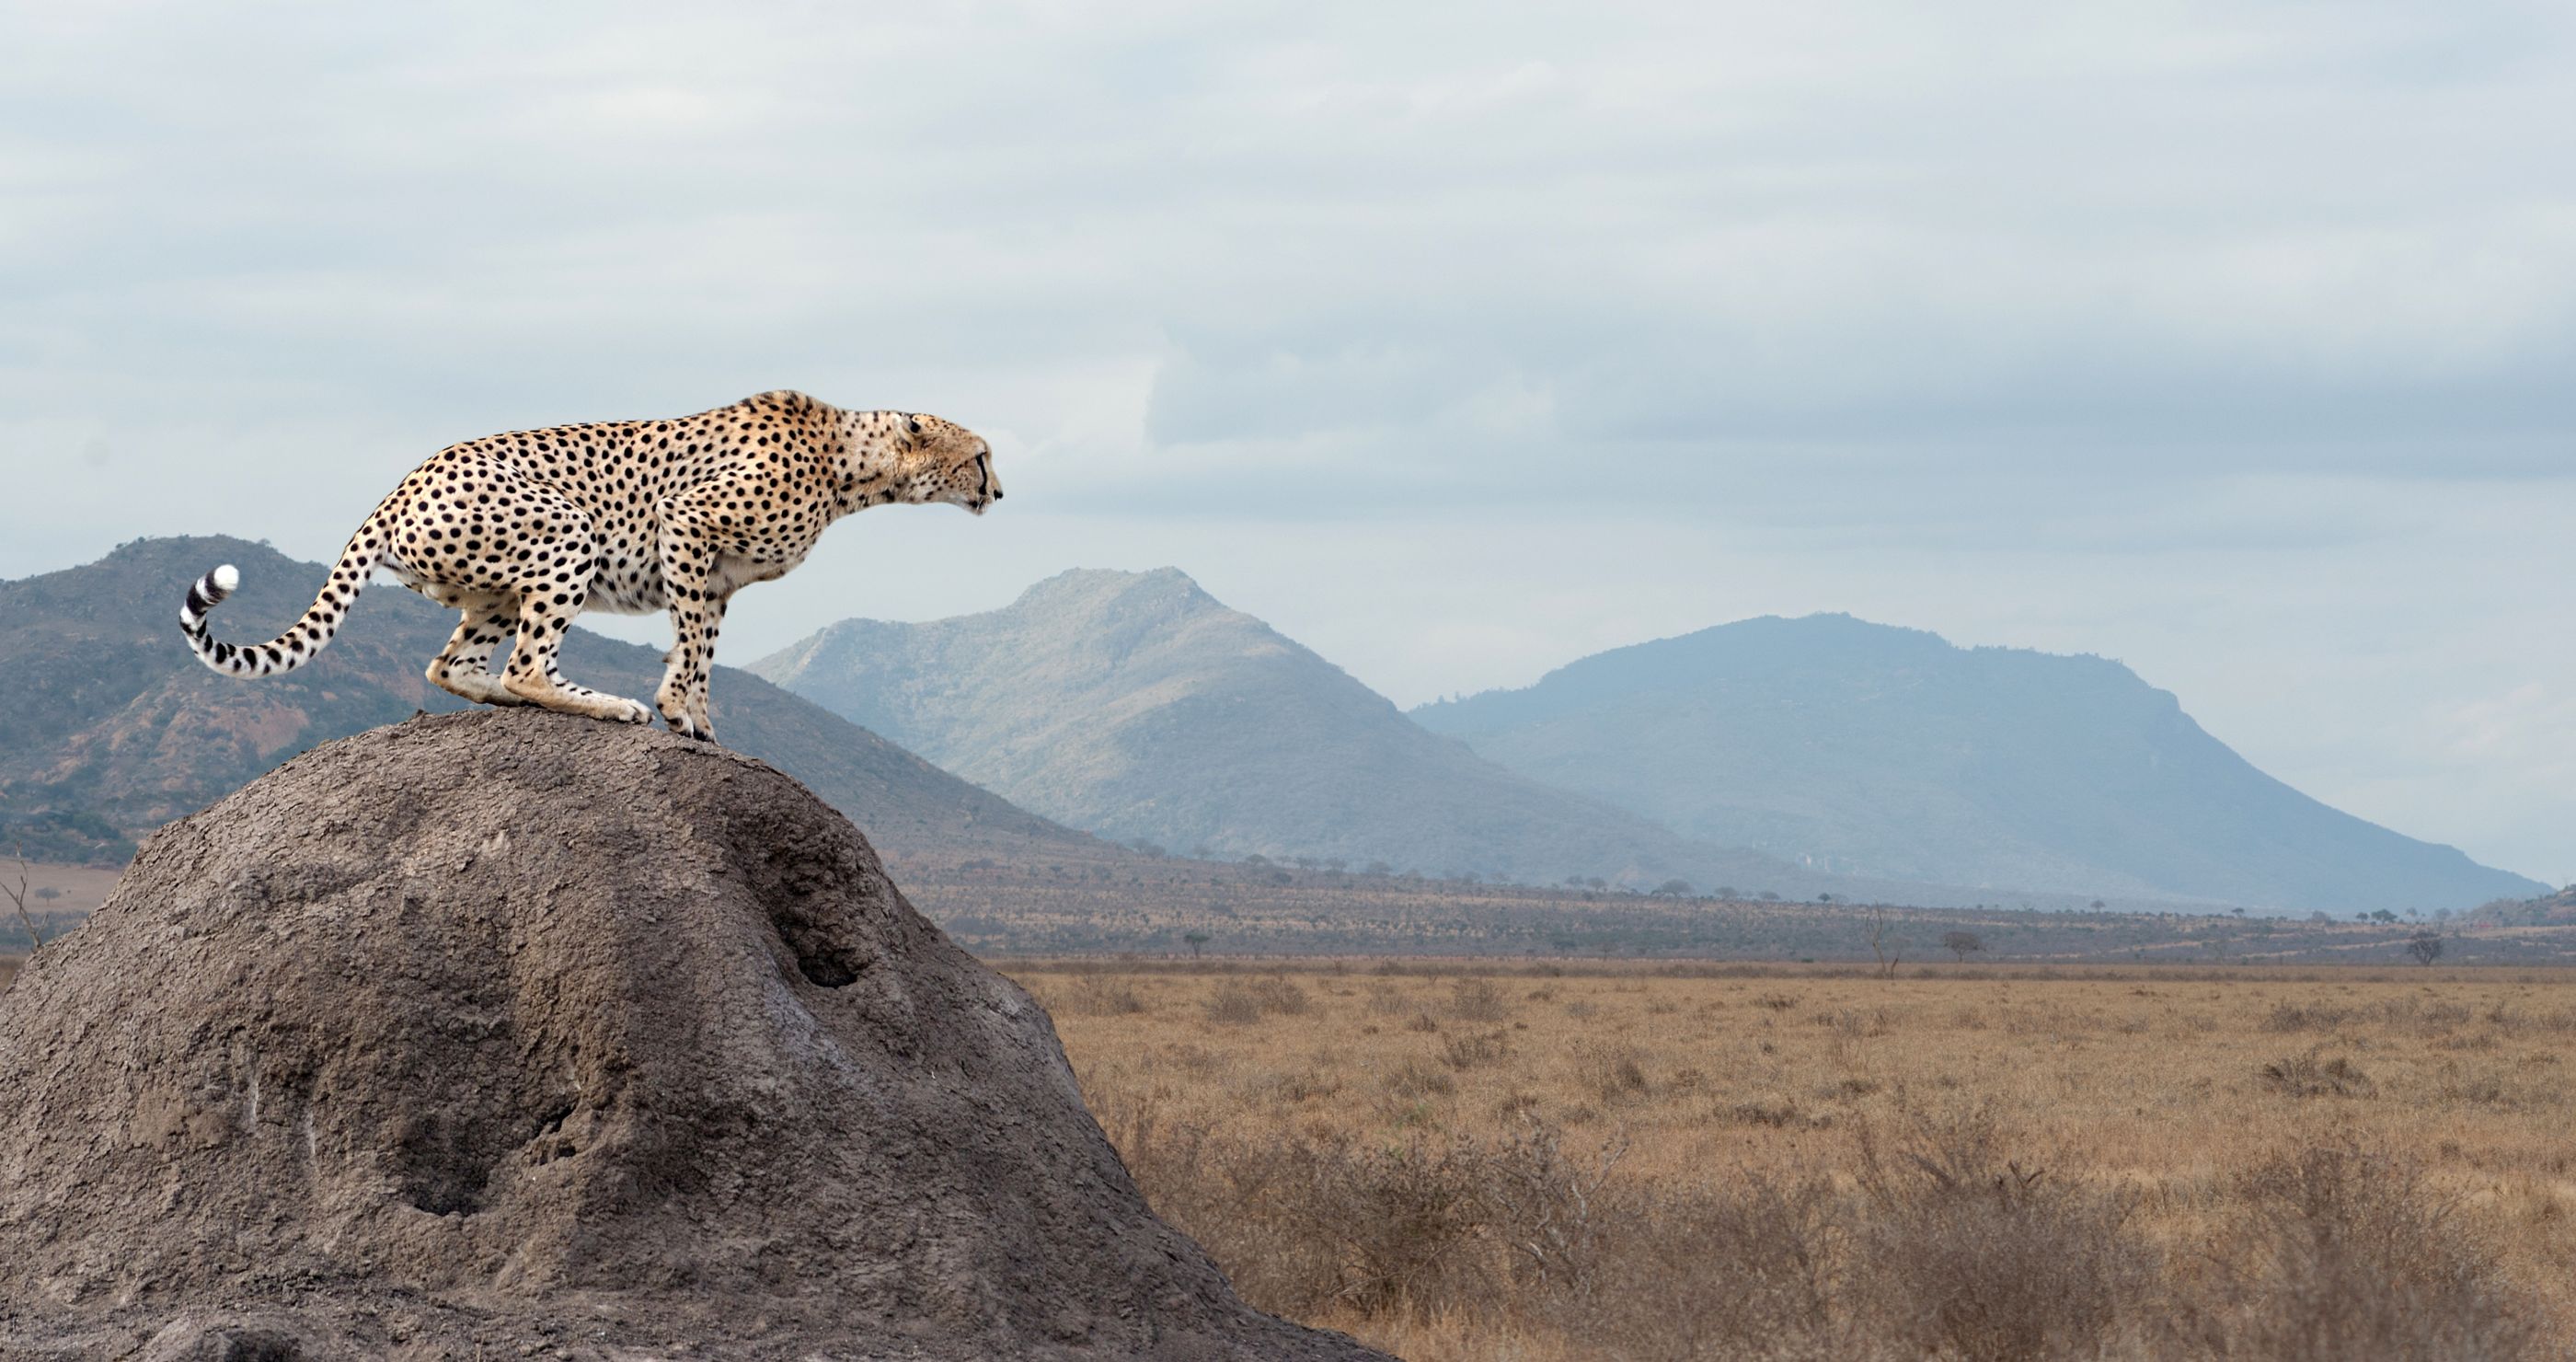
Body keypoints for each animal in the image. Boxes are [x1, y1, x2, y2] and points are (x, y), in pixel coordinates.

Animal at [181, 388, 999, 736]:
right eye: (981, 456)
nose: (998, 489)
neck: (849, 466)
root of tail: (404, 481)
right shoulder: (687, 524)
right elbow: (692, 646)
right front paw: (677, 711)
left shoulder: (719, 578)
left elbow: (702, 648)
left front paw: (701, 720)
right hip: (566, 532)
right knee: (525, 666)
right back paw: (605, 704)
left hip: (493, 589)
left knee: (455, 665)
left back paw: (517, 700)